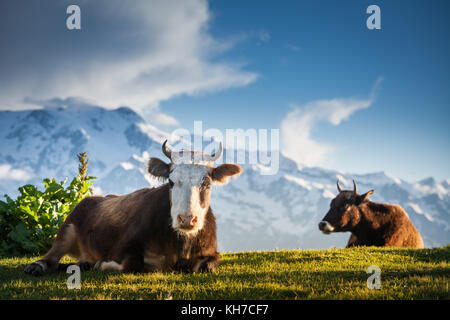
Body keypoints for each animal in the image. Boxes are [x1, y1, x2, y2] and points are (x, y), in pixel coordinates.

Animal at [23, 141, 243, 276]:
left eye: (207, 183)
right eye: (171, 181)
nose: (187, 219)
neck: (181, 244)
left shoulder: (210, 251)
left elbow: (209, 266)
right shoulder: (124, 246)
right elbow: (133, 265)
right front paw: (103, 264)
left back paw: (83, 264)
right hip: (67, 228)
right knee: (52, 257)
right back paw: (37, 266)